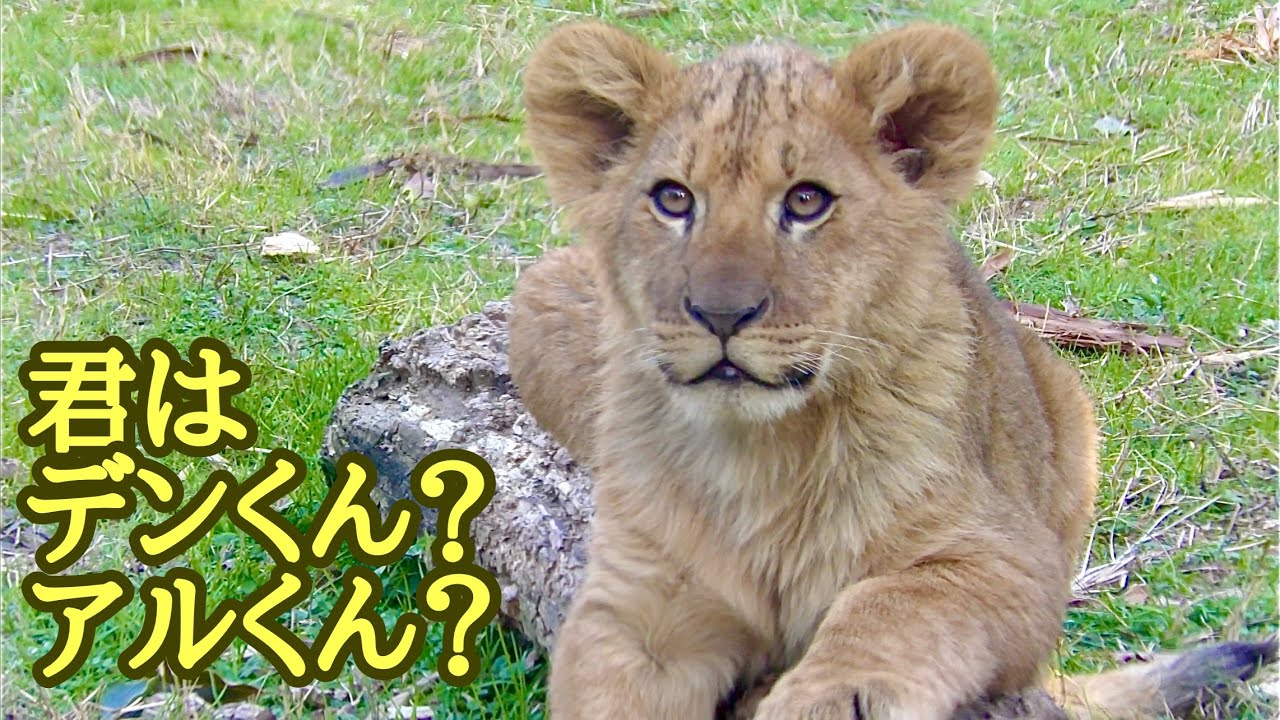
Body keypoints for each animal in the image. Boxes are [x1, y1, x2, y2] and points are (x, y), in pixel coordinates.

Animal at [508, 21, 1275, 719]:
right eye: (673, 199)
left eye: (806, 201)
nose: (722, 314)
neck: (760, 450)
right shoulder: (638, 612)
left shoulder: (1013, 562)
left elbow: (895, 601)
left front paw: (827, 698)